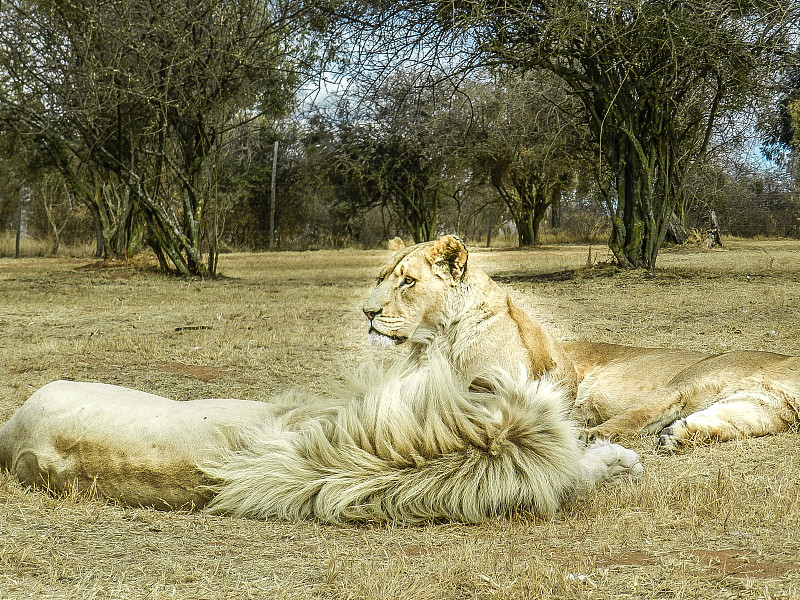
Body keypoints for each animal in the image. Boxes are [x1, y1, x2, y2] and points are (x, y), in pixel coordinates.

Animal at [364, 234, 800, 450]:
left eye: (407, 282)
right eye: (380, 278)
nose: (366, 312)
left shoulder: (759, 410)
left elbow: (720, 424)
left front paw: (680, 434)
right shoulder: (684, 385)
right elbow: (631, 418)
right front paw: (589, 436)